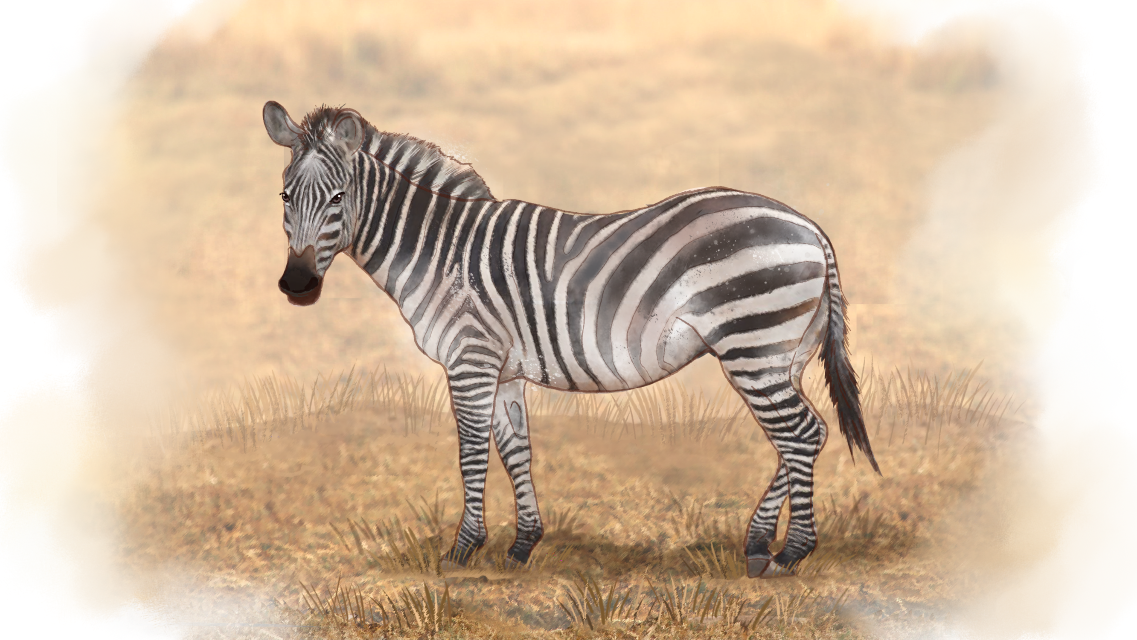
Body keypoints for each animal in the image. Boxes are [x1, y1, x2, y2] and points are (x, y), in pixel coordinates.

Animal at [263, 101, 880, 578]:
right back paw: (756, 546)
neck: (438, 249)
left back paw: (790, 554)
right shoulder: (503, 368)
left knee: (800, 434)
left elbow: (471, 452)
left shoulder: (470, 357)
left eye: (338, 198)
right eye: (286, 197)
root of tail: (811, 227)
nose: (296, 286)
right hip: (781, 354)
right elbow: (515, 449)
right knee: (803, 437)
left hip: (752, 345)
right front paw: (521, 546)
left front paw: (462, 550)